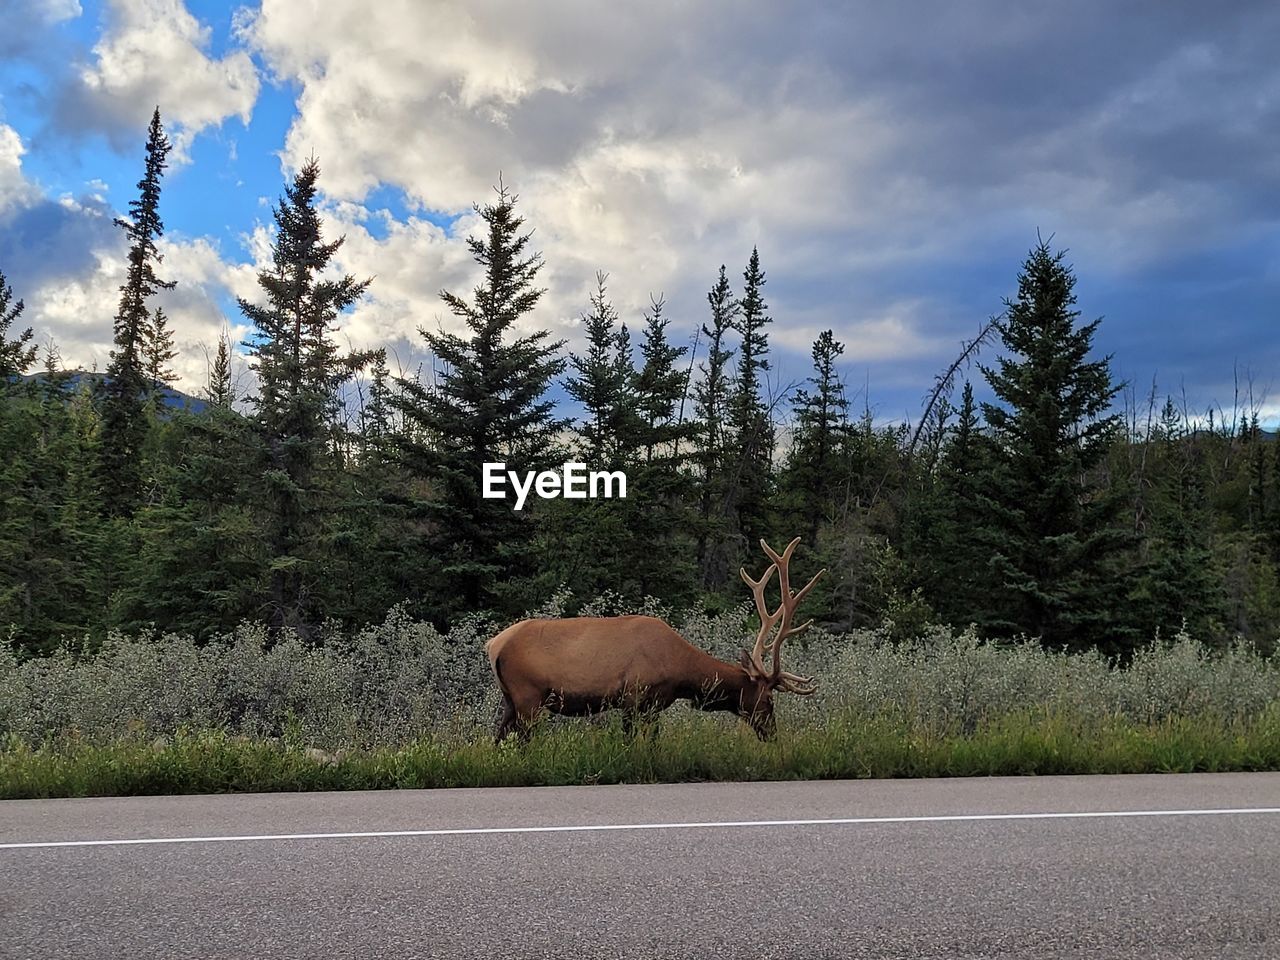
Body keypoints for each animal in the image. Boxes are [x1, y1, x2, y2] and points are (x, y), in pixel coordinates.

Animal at [483, 537, 824, 742]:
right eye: (768, 699)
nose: (773, 735)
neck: (683, 674)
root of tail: (492, 645)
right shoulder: (635, 697)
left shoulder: (651, 705)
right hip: (528, 696)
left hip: (510, 699)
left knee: (497, 739)